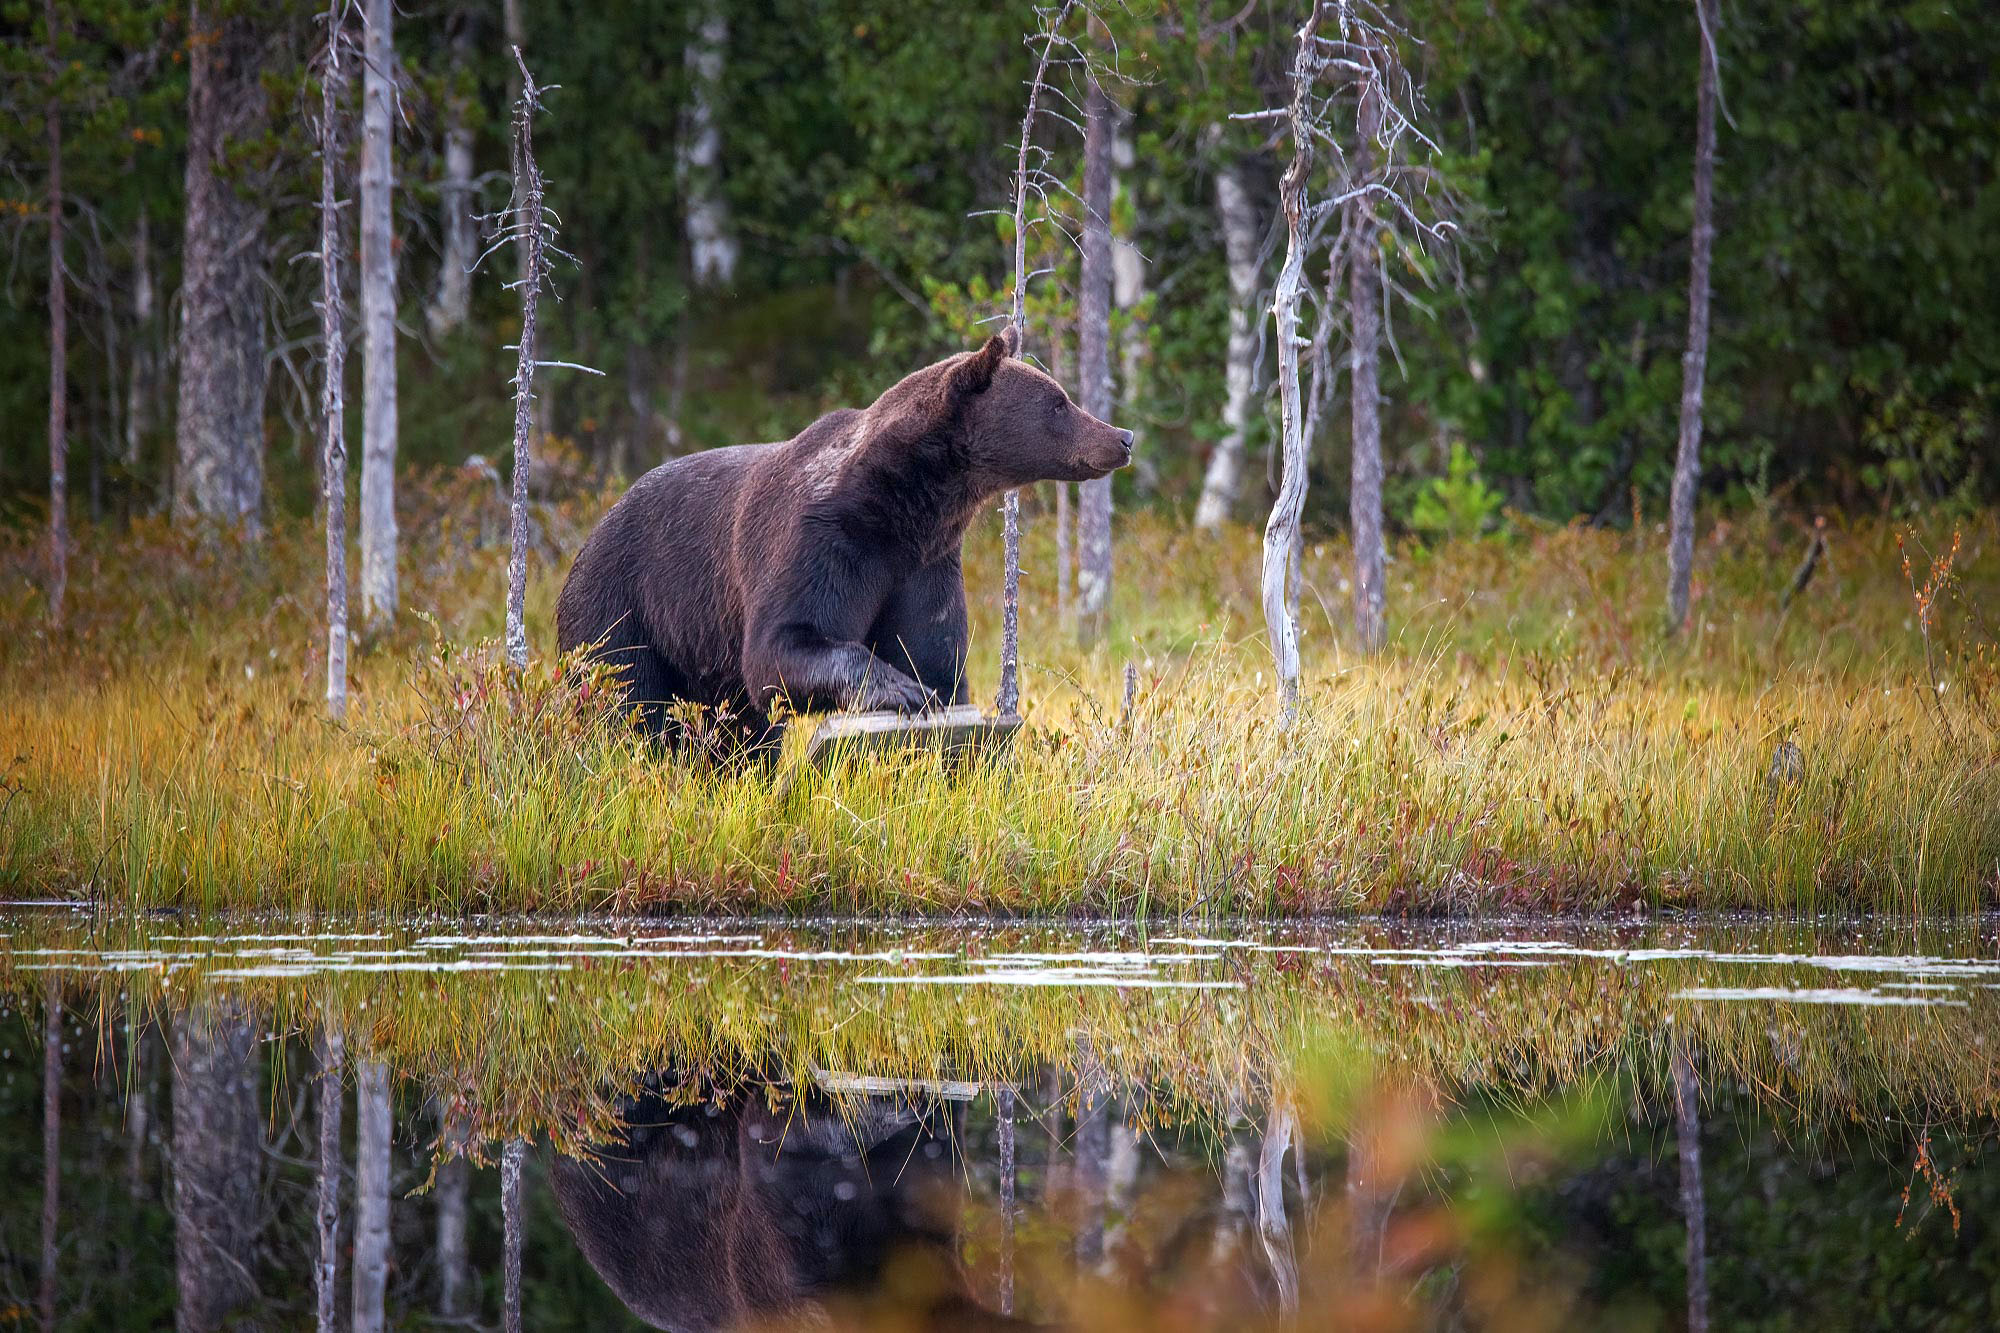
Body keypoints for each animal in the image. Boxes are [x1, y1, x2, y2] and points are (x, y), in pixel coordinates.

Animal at [556, 320, 1136, 736]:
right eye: (1058, 402)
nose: (1122, 436)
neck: (902, 502)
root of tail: (587, 537)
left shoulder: (924, 562)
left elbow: (933, 651)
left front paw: (932, 692)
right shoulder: (820, 540)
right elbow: (784, 643)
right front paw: (902, 691)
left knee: (744, 735)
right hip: (624, 609)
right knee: (630, 701)